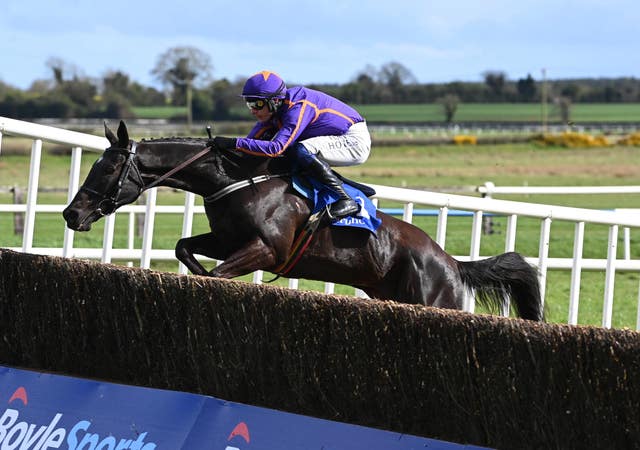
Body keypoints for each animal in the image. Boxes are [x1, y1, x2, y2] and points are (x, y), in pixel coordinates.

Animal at [62, 121, 544, 322]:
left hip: (435, 301)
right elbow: (186, 248)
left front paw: (213, 281)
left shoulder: (266, 249)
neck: (236, 179)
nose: (72, 213)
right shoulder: (227, 238)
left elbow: (220, 272)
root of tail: (450, 262)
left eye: (108, 168)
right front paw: (197, 274)